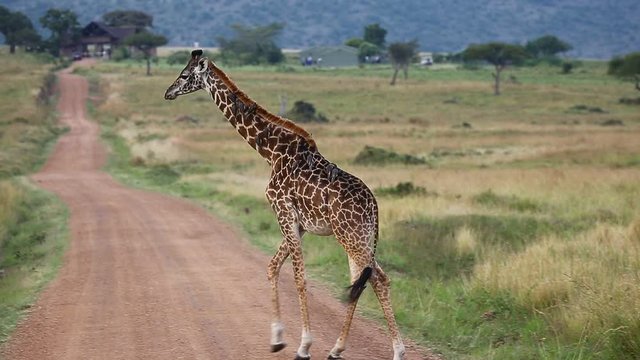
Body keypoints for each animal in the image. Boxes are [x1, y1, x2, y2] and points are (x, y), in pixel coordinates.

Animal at [165, 48, 404, 360]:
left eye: (184, 75)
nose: (168, 93)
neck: (271, 152)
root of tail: (374, 204)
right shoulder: (298, 223)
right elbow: (272, 266)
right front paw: (277, 339)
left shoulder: (283, 211)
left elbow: (299, 278)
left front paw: (303, 347)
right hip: (361, 236)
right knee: (366, 280)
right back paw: (337, 348)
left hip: (349, 235)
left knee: (376, 279)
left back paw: (396, 351)